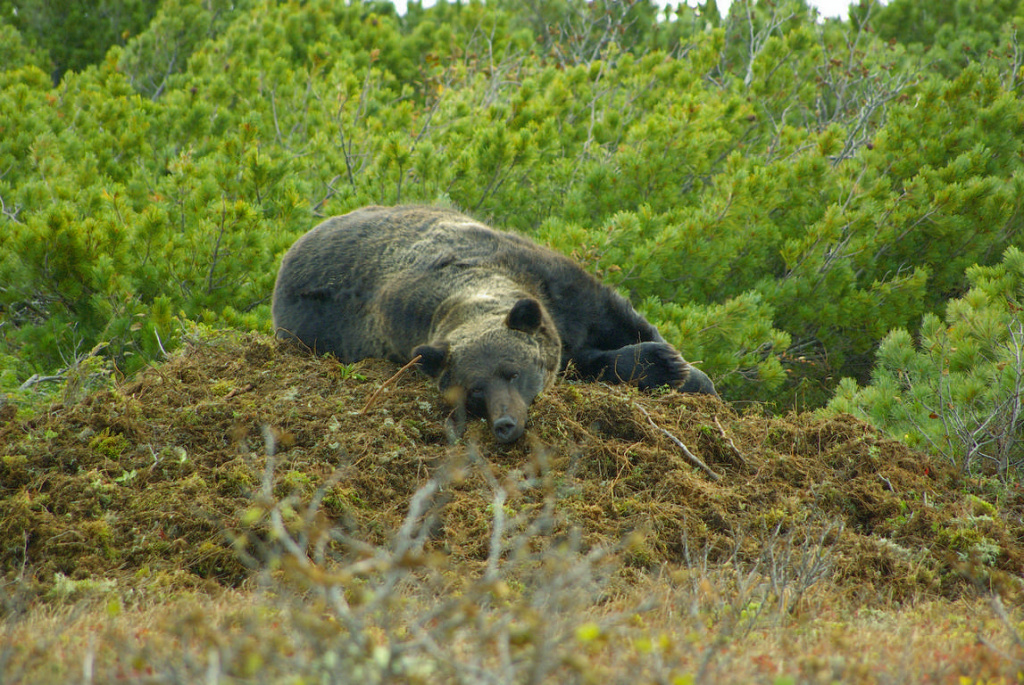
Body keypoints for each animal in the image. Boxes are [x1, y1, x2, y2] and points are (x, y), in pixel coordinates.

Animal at [272, 205, 716, 443]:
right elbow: (589, 362)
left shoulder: (550, 279)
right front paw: (663, 366)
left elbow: (619, 317)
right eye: (474, 392)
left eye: (511, 371)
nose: (503, 423)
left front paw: (686, 370)